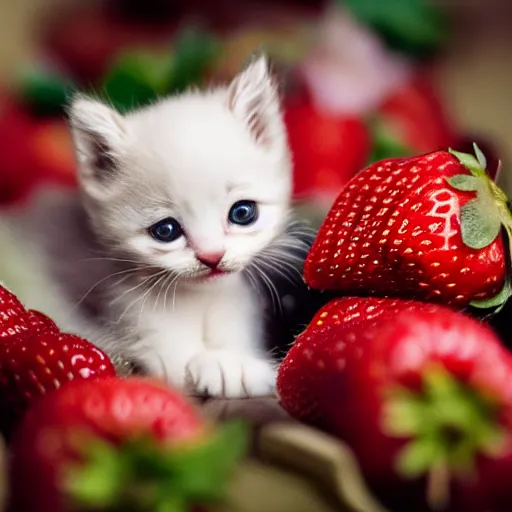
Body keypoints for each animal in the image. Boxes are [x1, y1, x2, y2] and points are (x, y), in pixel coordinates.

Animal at [46, 56, 308, 398]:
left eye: (242, 213)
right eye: (166, 231)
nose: (212, 256)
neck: (199, 300)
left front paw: (237, 364)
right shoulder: (137, 323)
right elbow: (177, 373)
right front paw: (224, 368)